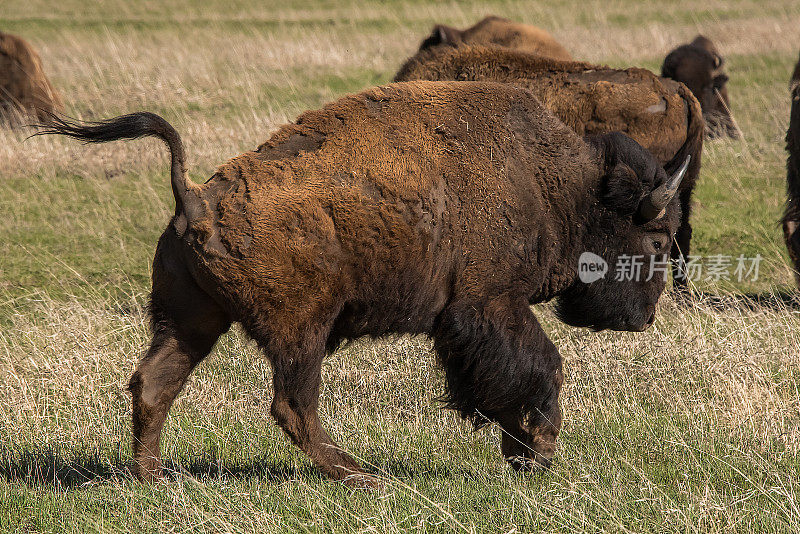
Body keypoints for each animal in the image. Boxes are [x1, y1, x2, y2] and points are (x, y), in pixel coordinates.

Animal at [37, 80, 688, 490]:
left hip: (191, 321)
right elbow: (541, 365)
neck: (561, 185)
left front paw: (523, 452)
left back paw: (151, 479)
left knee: (155, 383)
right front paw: (539, 450)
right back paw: (361, 476)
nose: (646, 317)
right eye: (657, 239)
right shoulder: (487, 305)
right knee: (292, 405)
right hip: (301, 328)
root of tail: (194, 197)